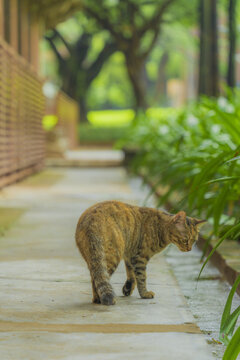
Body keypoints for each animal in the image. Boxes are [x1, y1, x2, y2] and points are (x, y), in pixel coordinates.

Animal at [74, 201, 204, 306]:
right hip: (112, 256)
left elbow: (131, 274)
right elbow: (141, 278)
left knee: (95, 277)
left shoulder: (130, 254)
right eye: (185, 240)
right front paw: (145, 294)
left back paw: (97, 299)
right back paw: (100, 299)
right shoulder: (141, 258)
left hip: (93, 258)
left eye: (194, 241)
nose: (189, 249)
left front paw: (128, 289)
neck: (161, 226)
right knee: (99, 278)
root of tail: (91, 222)